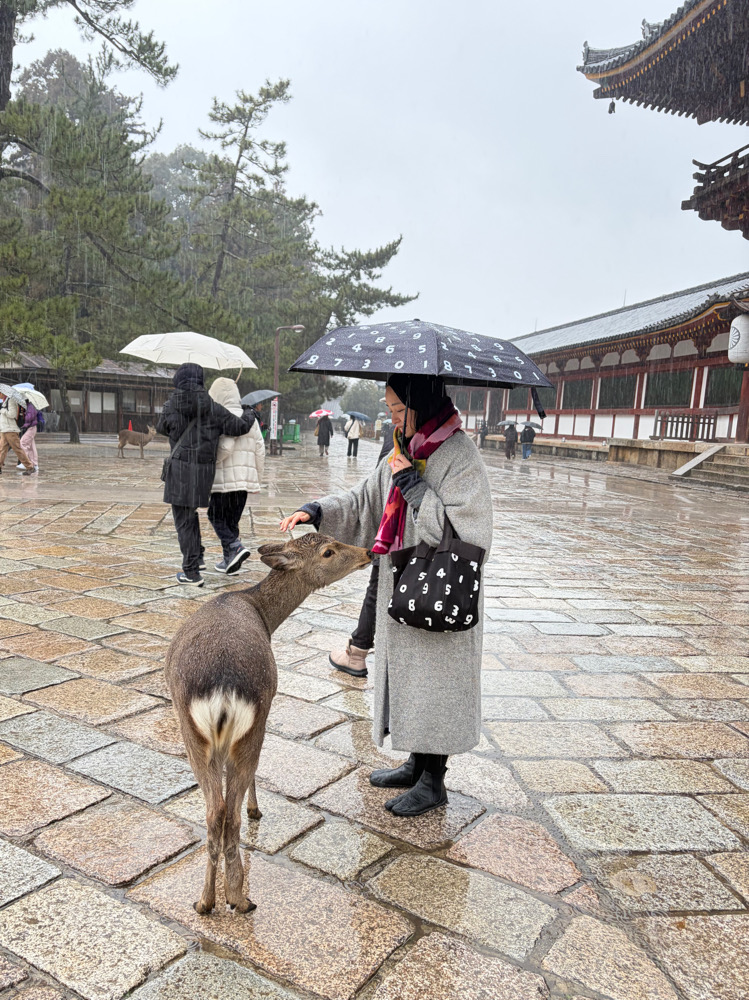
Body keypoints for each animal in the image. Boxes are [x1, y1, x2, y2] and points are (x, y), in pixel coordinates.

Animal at [165, 532, 372, 915]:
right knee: (228, 809)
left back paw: (207, 900)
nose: (368, 551)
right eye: (328, 551)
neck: (260, 610)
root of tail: (223, 688)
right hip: (249, 724)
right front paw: (256, 810)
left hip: (194, 732)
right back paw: (238, 898)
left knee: (215, 810)